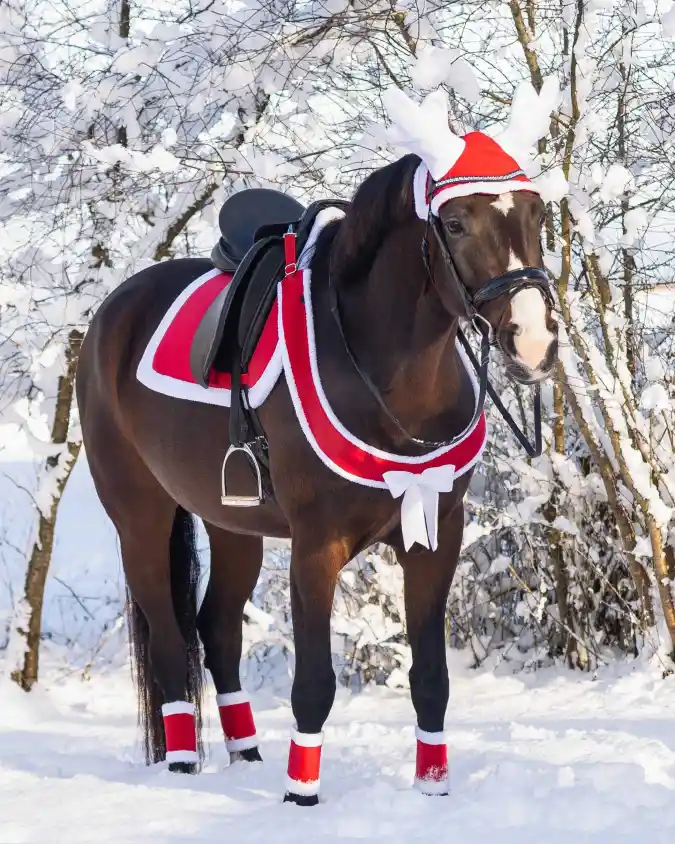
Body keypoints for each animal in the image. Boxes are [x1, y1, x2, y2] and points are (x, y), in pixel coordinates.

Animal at [76, 107, 558, 804]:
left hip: (233, 526)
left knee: (216, 630)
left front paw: (433, 787)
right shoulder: (316, 546)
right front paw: (300, 794)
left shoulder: (437, 535)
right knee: (170, 640)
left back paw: (247, 754)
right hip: (140, 518)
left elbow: (431, 678)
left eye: (537, 213)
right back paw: (184, 762)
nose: (534, 342)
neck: (384, 373)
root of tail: (111, 314)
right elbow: (314, 686)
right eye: (456, 222)